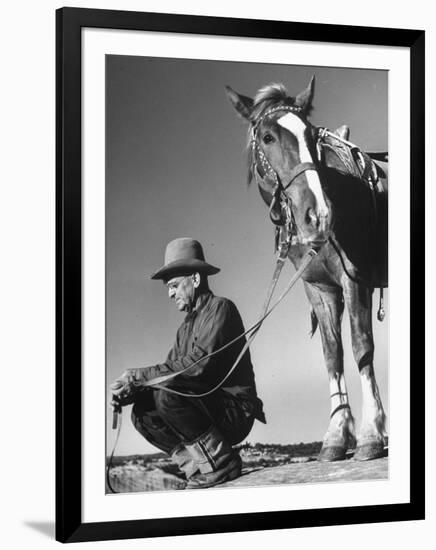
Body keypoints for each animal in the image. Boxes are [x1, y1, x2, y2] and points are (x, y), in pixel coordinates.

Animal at [227, 74, 386, 462]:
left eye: (312, 135)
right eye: (267, 137)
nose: (319, 215)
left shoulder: (355, 279)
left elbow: (361, 346)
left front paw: (370, 434)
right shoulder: (319, 290)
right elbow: (333, 355)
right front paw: (335, 436)